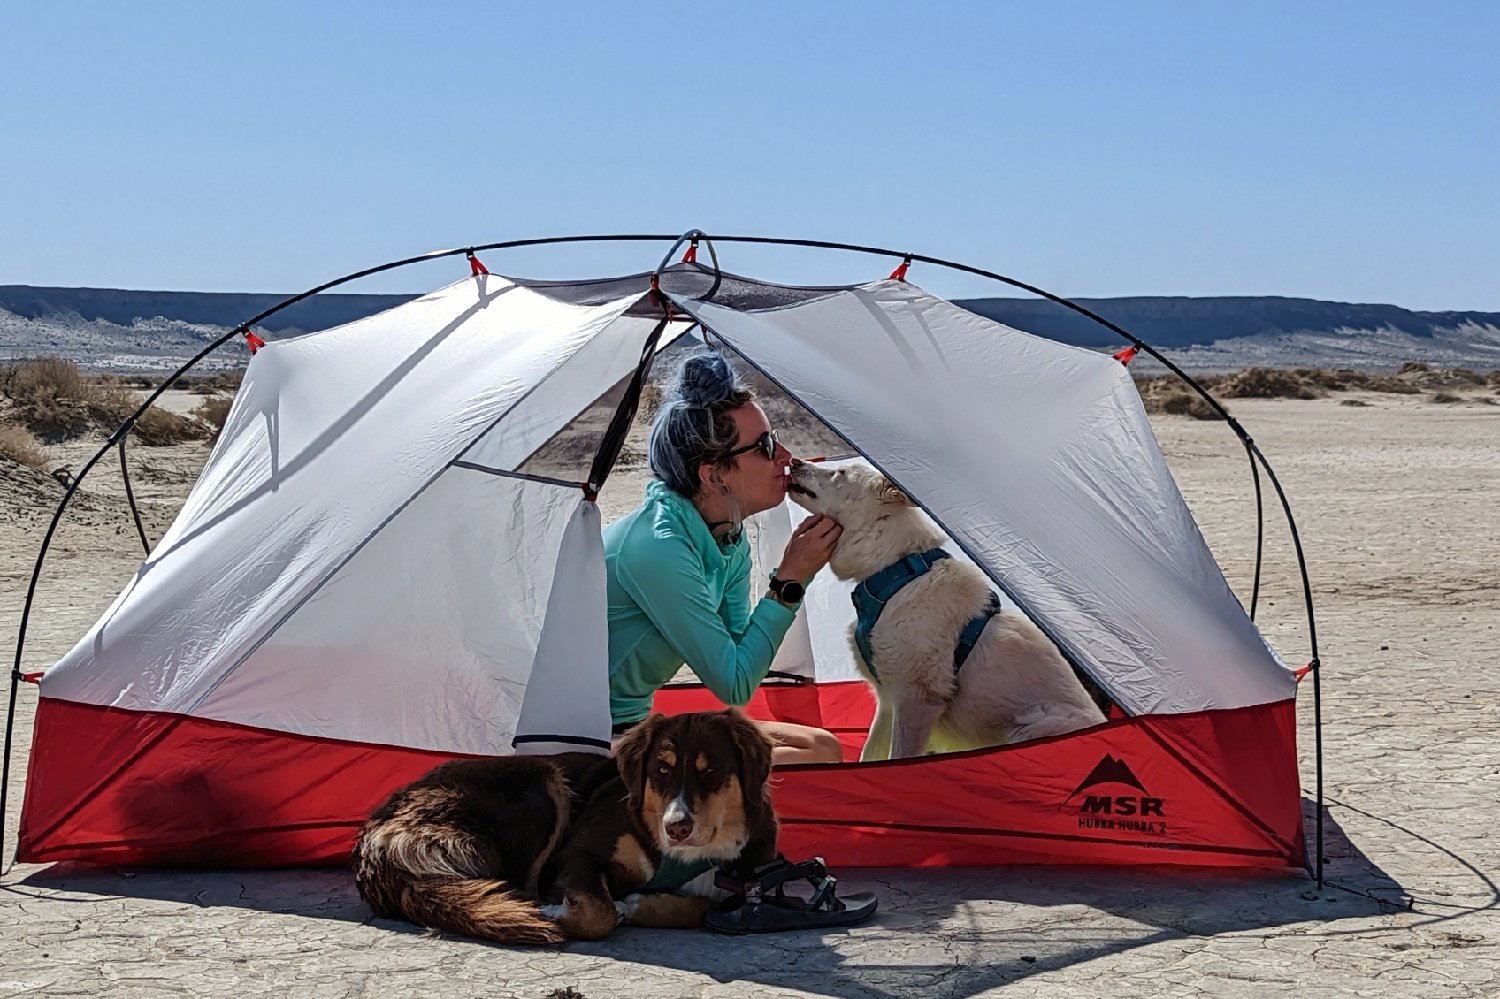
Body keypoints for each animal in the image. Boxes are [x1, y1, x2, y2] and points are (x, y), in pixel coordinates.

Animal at [348, 708, 774, 942]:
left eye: (711, 771)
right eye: (661, 770)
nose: (677, 827)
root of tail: (378, 829)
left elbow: (701, 907)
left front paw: (642, 903)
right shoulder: (576, 854)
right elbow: (599, 913)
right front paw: (572, 912)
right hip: (542, 781)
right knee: (524, 885)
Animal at [786, 459, 1104, 756]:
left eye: (840, 473)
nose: (794, 461)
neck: (895, 572)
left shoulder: (916, 700)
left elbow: (899, 758)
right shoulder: (888, 703)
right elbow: (870, 756)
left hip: (1032, 727)